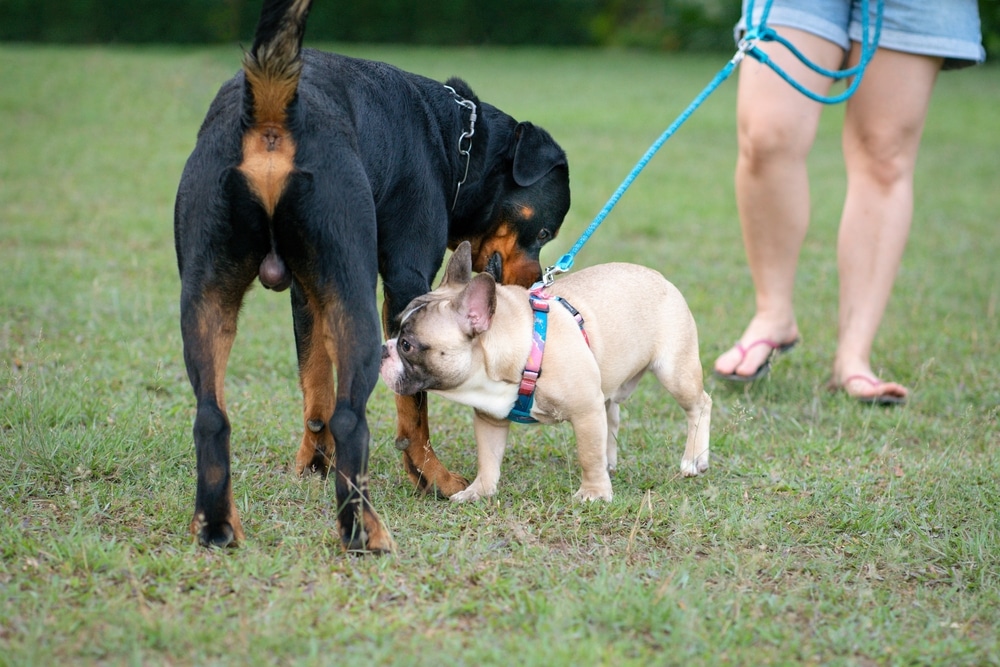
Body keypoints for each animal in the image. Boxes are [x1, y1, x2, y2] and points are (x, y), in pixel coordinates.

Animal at [174, 0, 572, 552]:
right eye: (547, 230)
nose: (532, 285)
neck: (456, 142)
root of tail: (274, 109)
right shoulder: (406, 281)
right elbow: (413, 408)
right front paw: (430, 477)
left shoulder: (309, 294)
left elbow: (315, 385)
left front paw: (313, 463)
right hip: (356, 300)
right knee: (350, 418)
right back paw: (364, 531)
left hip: (208, 294)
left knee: (211, 417)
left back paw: (216, 525)